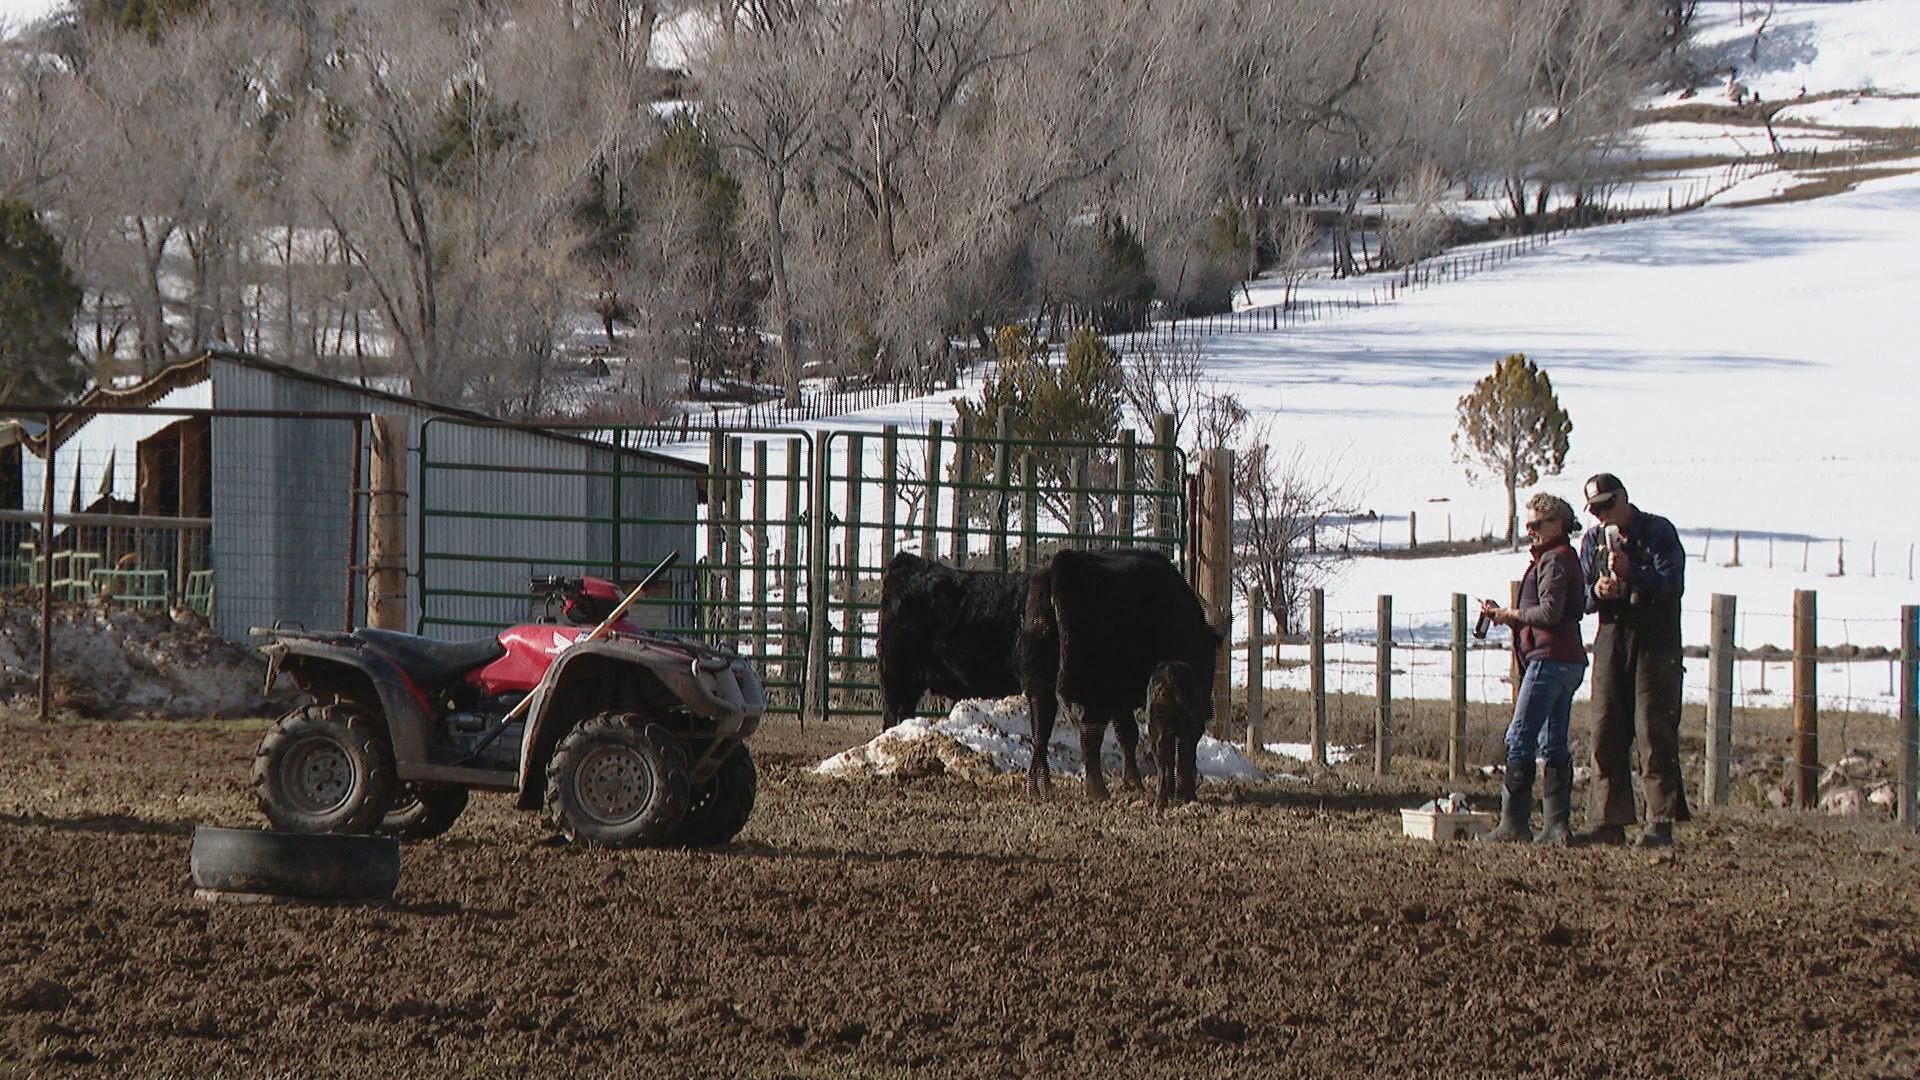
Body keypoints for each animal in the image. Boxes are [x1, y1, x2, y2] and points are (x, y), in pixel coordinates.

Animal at [1021, 545, 1213, 799]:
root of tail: (1064, 562)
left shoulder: (1121, 699)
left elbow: (1127, 734)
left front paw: (1133, 783)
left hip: (1040, 681)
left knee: (1040, 730)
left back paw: (1039, 787)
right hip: (1090, 688)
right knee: (1088, 734)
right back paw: (1097, 791)